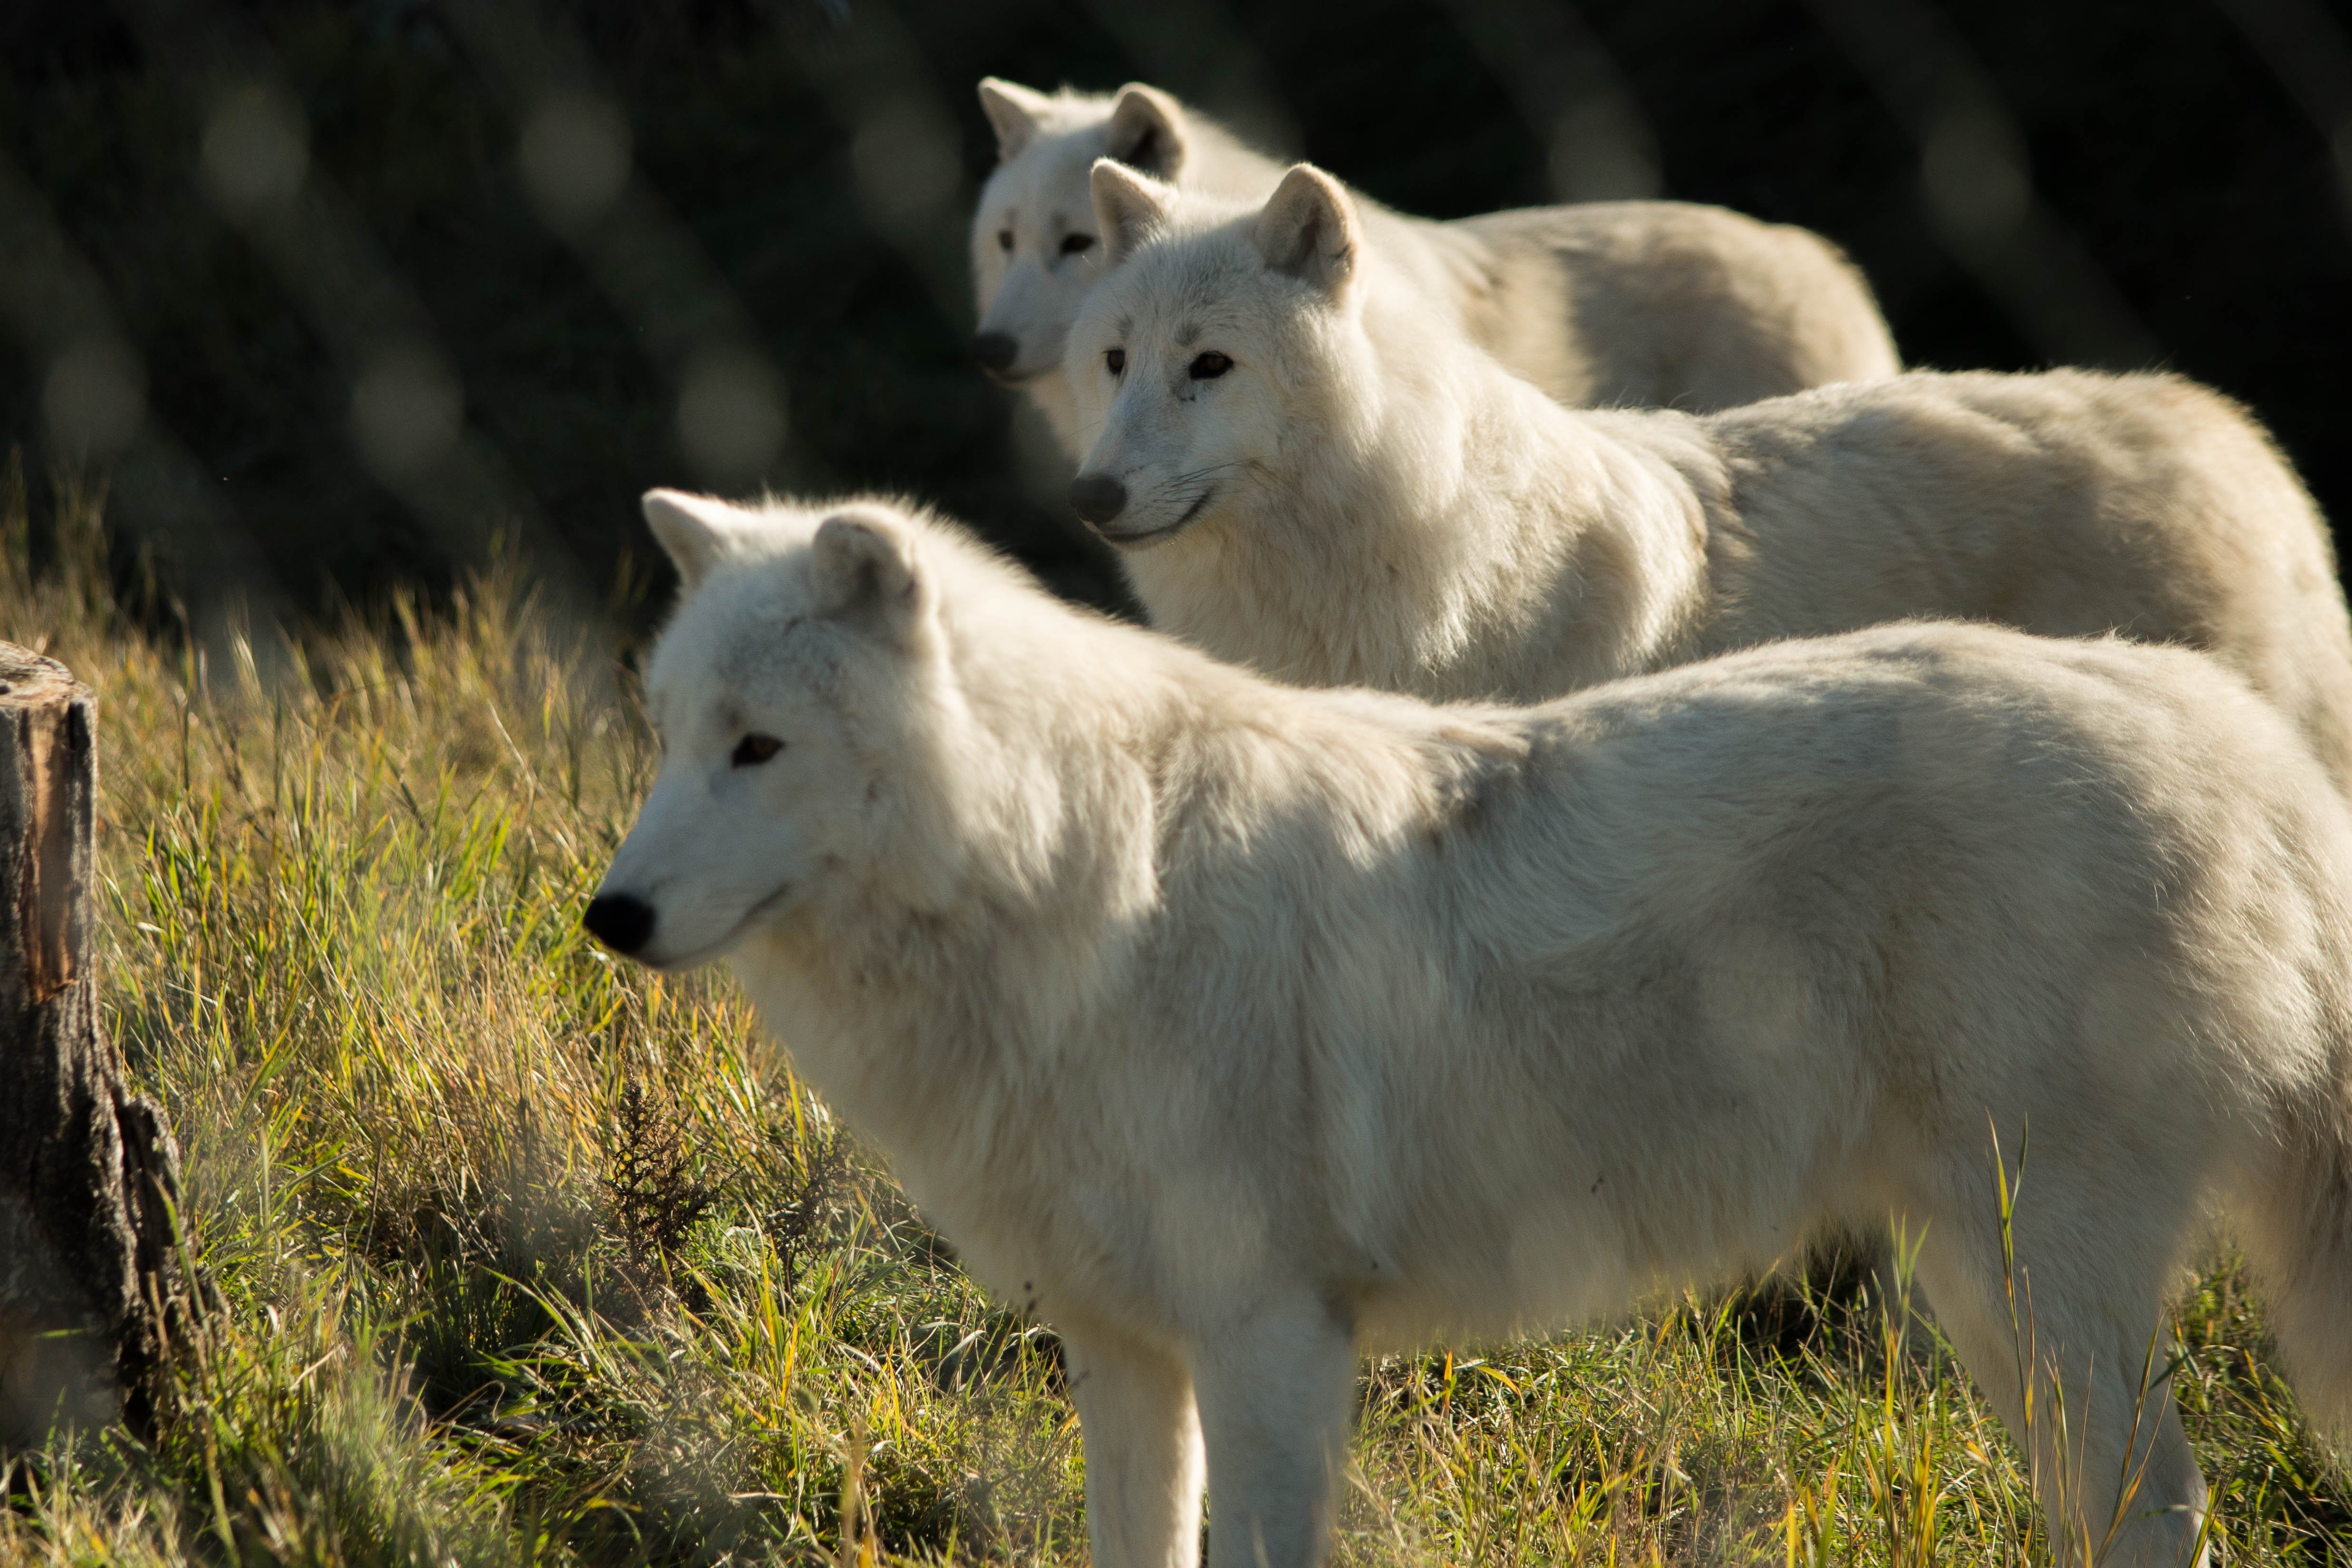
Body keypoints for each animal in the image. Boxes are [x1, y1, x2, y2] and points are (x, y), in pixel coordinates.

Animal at [597, 491, 2352, 1568]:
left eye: (759, 747)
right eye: (671, 735)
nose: (608, 915)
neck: (1077, 880)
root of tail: (2236, 735)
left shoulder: (1271, 1342)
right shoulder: (1124, 1351)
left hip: (2031, 1277)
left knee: (2161, 1505)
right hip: (1985, 1294)